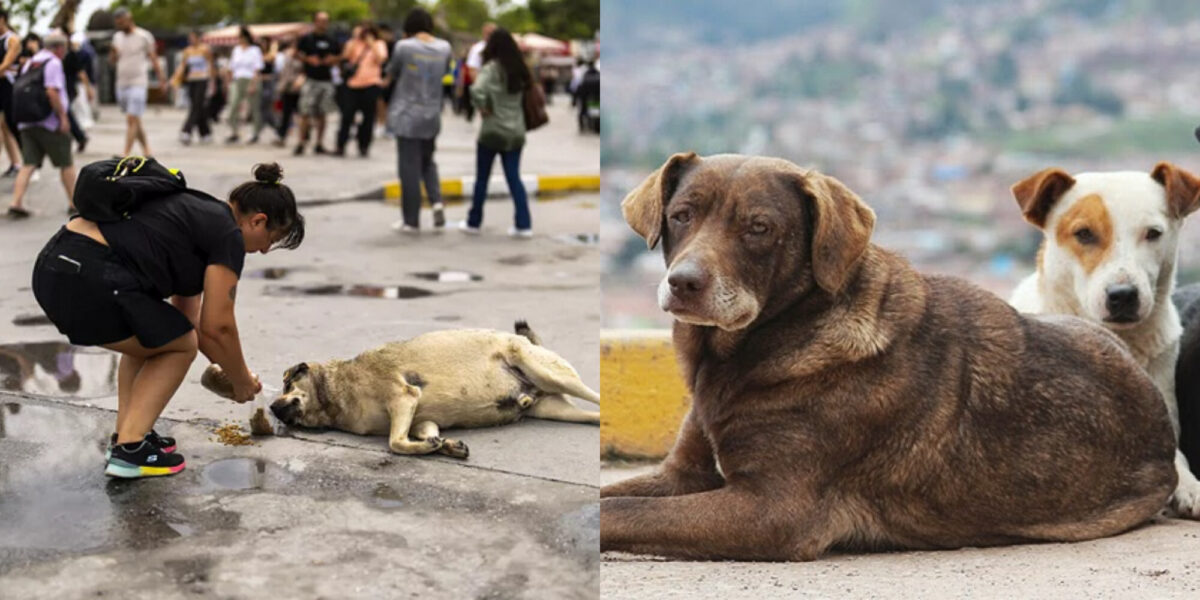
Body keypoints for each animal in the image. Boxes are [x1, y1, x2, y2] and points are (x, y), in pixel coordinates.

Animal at [272, 324, 600, 458]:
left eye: (288, 383)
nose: (273, 408)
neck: (334, 390)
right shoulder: (419, 419)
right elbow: (422, 434)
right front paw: (443, 445)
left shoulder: (403, 397)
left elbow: (395, 443)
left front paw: (428, 447)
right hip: (555, 409)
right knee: (590, 415)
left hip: (548, 372)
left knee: (592, 394)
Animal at [600, 153, 1171, 561]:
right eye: (681, 216)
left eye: (758, 228)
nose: (684, 283)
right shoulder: (684, 476)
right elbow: (617, 495)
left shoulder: (770, 510)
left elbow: (623, 510)